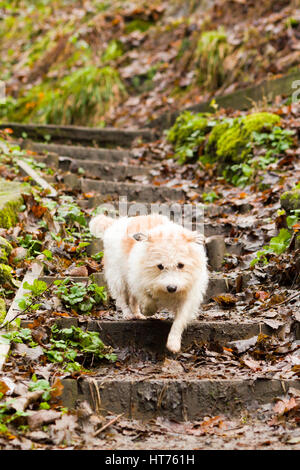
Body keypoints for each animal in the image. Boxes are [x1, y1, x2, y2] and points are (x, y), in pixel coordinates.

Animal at [89, 213, 209, 352]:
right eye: (160, 266)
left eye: (180, 265)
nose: (172, 288)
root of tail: (116, 223)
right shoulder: (139, 282)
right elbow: (148, 301)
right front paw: (148, 310)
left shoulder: (188, 297)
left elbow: (179, 320)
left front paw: (173, 343)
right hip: (119, 278)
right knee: (122, 299)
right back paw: (128, 314)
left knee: (132, 301)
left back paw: (137, 314)